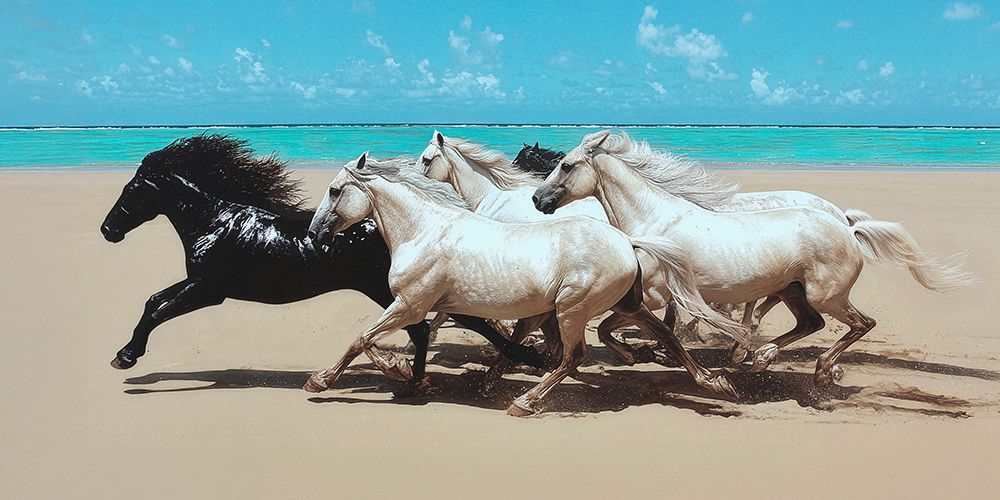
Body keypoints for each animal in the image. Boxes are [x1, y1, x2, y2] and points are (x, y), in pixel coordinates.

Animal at [99, 135, 544, 392]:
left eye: (132, 189)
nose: (107, 230)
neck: (215, 222)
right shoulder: (198, 283)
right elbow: (152, 302)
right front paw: (127, 356)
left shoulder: (209, 290)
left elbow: (159, 311)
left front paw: (126, 358)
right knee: (425, 330)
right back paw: (416, 379)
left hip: (393, 292)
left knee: (451, 324)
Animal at [305, 153, 749, 415]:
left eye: (334, 190)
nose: (314, 232)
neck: (425, 230)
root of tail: (626, 240)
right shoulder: (430, 308)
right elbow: (416, 338)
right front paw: (410, 377)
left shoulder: (409, 304)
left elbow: (363, 339)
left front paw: (324, 380)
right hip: (625, 304)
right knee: (665, 336)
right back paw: (716, 383)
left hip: (572, 309)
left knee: (575, 356)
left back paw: (525, 401)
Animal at [533, 130, 974, 385]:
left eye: (565, 164)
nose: (538, 200)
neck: (655, 220)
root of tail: (847, 228)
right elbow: (635, 329)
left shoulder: (656, 296)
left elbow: (617, 329)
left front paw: (637, 353)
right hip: (796, 292)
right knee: (809, 324)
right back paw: (760, 358)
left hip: (826, 294)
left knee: (861, 324)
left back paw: (815, 370)